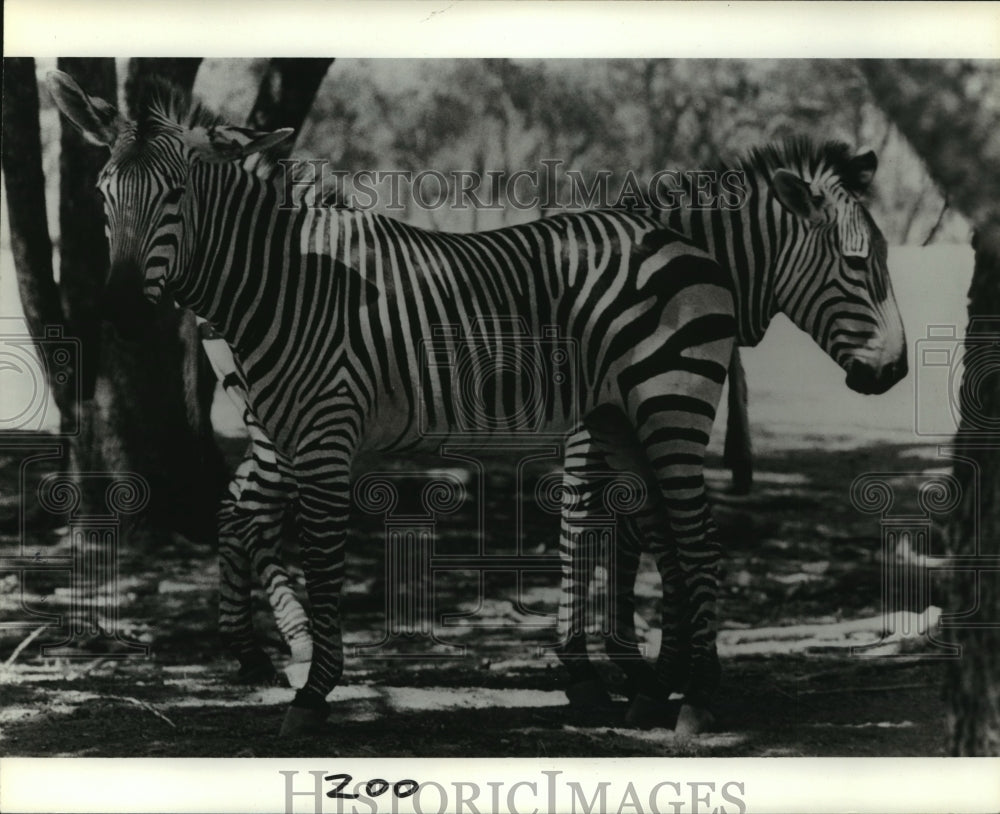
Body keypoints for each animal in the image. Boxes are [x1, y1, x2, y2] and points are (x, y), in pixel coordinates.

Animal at [48, 71, 908, 740]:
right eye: (100, 195)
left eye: (176, 195)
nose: (897, 370)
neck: (288, 283)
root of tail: (675, 243)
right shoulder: (330, 430)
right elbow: (613, 540)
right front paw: (620, 676)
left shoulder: (339, 431)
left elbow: (341, 556)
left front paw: (319, 692)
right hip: (632, 414)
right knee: (238, 511)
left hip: (663, 403)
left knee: (695, 541)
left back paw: (694, 698)